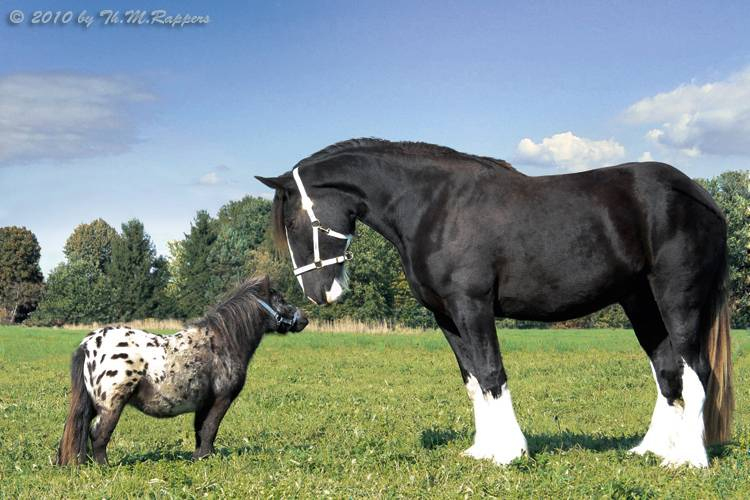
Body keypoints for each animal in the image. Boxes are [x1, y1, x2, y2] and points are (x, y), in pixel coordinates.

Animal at [56, 276, 308, 465]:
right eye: (281, 299)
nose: (304, 319)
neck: (221, 342)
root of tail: (88, 344)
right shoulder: (222, 398)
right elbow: (210, 428)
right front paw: (205, 458)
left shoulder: (204, 402)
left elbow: (201, 430)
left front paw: (200, 457)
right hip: (111, 406)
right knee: (98, 435)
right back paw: (104, 466)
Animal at [256, 138, 734, 468]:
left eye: (294, 222)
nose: (319, 294)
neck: (433, 206)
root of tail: (700, 194)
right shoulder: (446, 315)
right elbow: (473, 381)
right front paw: (483, 450)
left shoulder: (472, 306)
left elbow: (491, 372)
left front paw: (510, 453)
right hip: (641, 303)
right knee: (667, 369)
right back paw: (651, 449)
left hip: (678, 299)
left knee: (696, 369)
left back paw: (688, 459)